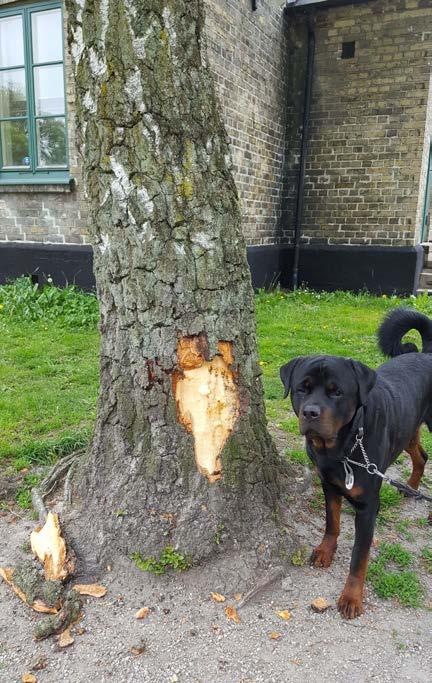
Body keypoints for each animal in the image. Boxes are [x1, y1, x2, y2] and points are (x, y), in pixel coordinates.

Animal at [280, 310, 432, 620]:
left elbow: (358, 557)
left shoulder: (368, 507)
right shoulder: (328, 484)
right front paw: (325, 551)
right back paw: (410, 488)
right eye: (302, 388)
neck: (341, 447)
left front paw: (351, 597)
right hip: (408, 428)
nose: (310, 412)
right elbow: (332, 523)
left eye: (336, 392)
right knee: (421, 456)